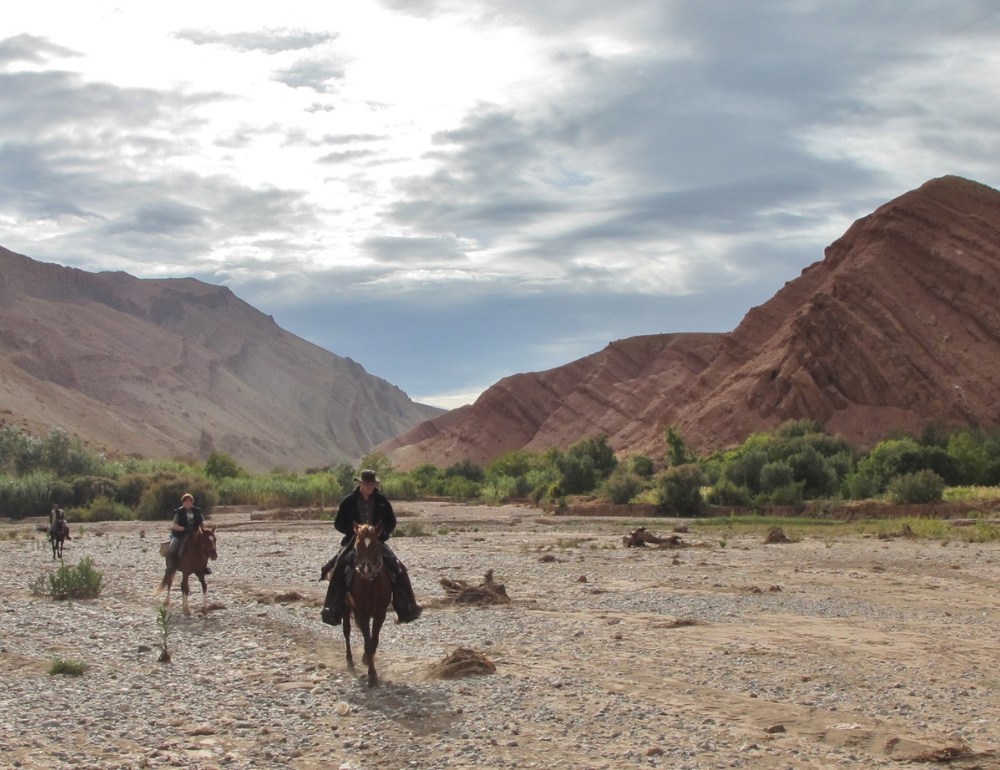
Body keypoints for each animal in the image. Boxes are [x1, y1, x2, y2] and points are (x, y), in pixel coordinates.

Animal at [344, 520, 390, 688]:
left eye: (376, 545)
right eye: (357, 545)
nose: (365, 569)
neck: (370, 584)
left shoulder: (380, 612)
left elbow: (373, 641)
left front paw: (368, 663)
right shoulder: (361, 612)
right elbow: (368, 642)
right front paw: (372, 675)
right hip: (346, 607)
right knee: (347, 631)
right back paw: (350, 661)